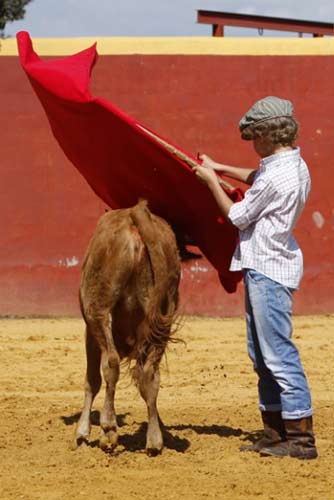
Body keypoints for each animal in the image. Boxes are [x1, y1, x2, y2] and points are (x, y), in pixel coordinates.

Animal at [74, 198, 181, 454]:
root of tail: (135, 214)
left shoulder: (90, 333)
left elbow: (92, 380)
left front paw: (83, 433)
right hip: (162, 318)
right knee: (151, 375)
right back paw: (154, 440)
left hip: (99, 312)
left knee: (111, 364)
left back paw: (109, 430)